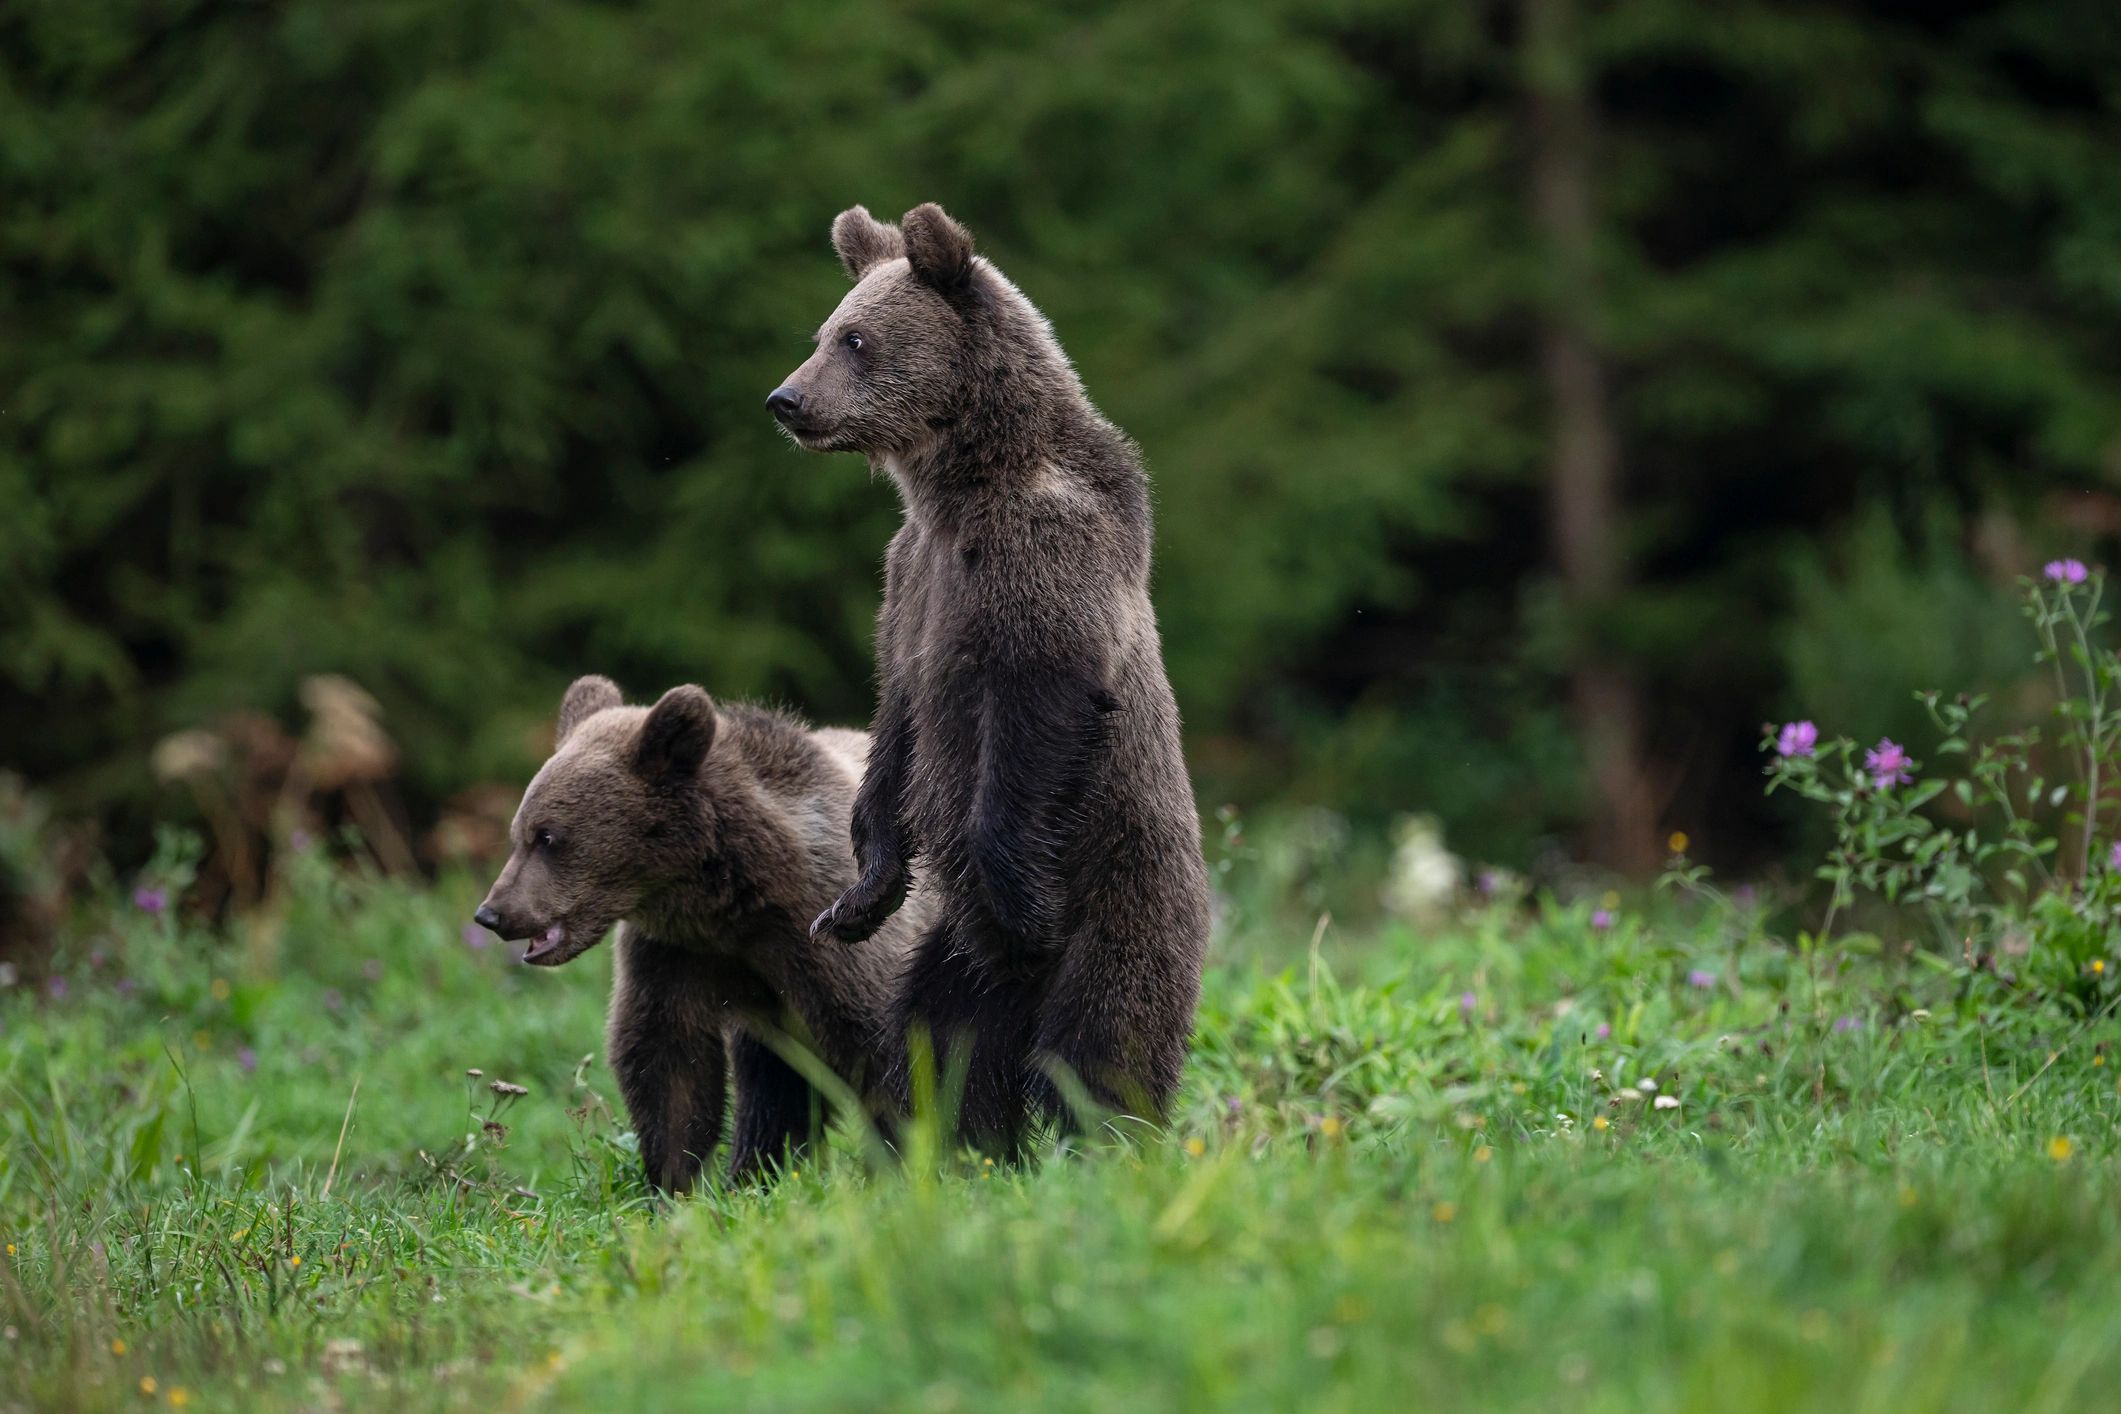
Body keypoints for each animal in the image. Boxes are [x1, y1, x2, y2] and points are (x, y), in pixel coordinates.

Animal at [472, 676, 928, 1191]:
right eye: (519, 833)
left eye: (547, 836)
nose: (492, 914)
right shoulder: (675, 953)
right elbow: (667, 1062)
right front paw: (675, 1181)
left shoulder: (831, 938)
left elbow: (887, 1051)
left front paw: (907, 1164)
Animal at [766, 202, 1211, 1153]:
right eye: (823, 331)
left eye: (855, 339)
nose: (786, 400)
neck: (962, 482)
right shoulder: (910, 581)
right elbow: (896, 721)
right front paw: (860, 894)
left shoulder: (1039, 562)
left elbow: (1034, 707)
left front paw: (1016, 893)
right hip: (956, 962)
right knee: (940, 1046)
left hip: (1122, 899)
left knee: (1104, 1048)